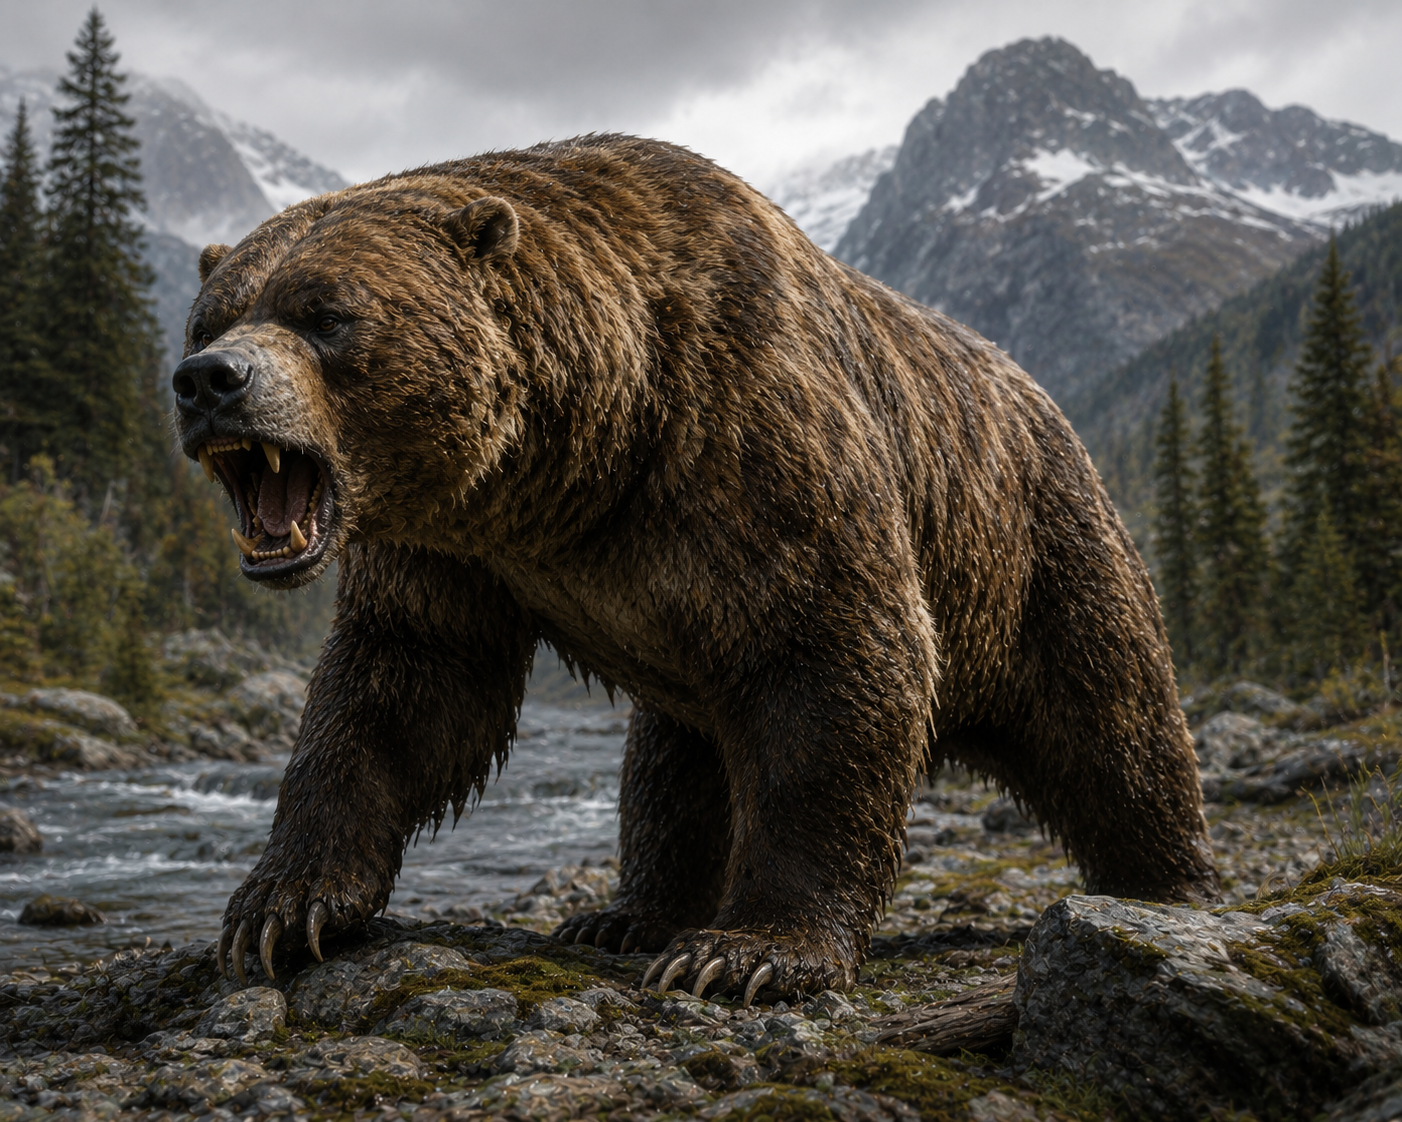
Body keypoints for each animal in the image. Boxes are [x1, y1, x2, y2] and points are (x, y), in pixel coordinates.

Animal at [172, 134, 1220, 1001]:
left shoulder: (756, 443)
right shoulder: (451, 544)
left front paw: (750, 952)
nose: (209, 382)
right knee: (673, 771)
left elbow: (835, 657)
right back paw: (624, 913)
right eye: (212, 318)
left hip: (1038, 546)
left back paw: (1170, 889)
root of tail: (1042, 400)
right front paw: (282, 908)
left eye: (325, 315)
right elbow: (403, 688)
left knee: (1115, 725)